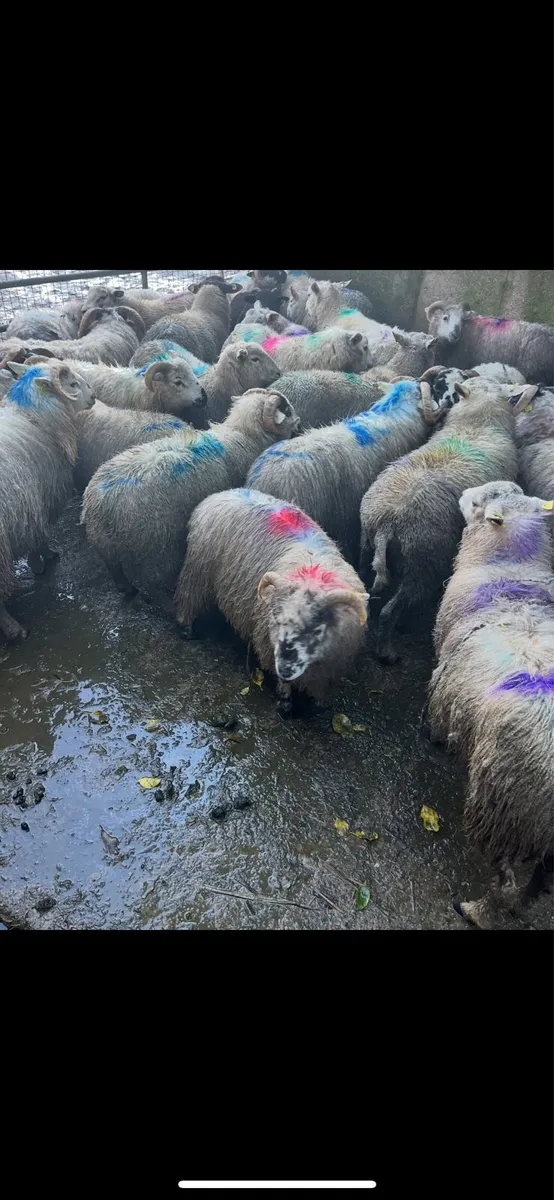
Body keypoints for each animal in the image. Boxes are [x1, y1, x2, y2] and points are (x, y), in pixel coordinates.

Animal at [0, 363, 95, 640]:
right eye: (72, 384)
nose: (94, 396)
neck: (33, 416)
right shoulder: (41, 500)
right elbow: (39, 537)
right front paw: (42, 560)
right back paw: (13, 629)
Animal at [81, 388, 301, 609]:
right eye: (287, 411)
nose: (299, 425)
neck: (244, 434)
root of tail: (98, 503)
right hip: (156, 544)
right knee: (153, 582)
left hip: (105, 544)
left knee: (115, 569)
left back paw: (126, 588)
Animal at [174, 487, 369, 713]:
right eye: (278, 621)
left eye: (317, 628)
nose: (285, 667)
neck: (313, 573)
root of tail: (224, 492)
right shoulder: (269, 644)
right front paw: (285, 701)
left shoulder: (331, 664)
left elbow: (320, 688)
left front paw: (317, 704)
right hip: (199, 569)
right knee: (188, 597)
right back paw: (187, 629)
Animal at [360, 383, 520, 664]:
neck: (476, 424)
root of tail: (389, 522)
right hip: (422, 563)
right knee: (390, 611)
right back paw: (388, 650)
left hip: (366, 543)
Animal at [427, 483, 554, 928]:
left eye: (480, 504)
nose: (465, 494)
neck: (513, 569)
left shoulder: (443, 670)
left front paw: (437, 738)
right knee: (540, 883)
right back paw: (521, 906)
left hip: (503, 804)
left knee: (505, 881)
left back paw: (476, 911)